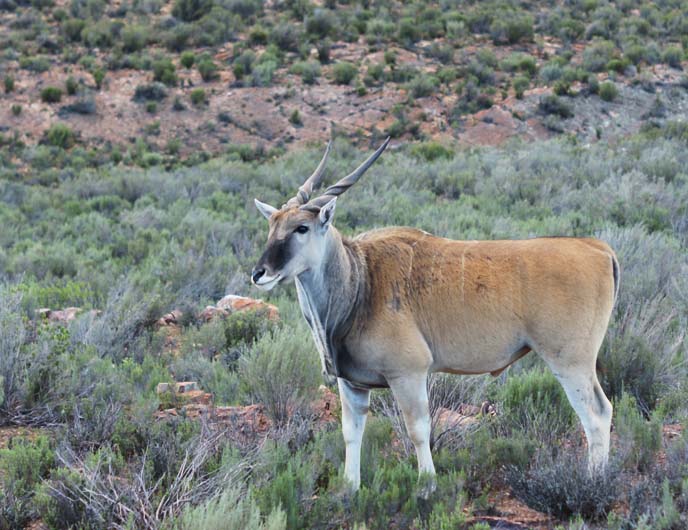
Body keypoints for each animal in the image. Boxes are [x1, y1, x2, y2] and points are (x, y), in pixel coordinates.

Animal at [251, 139, 620, 490]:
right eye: (271, 226)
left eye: (301, 228)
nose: (259, 273)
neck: (361, 280)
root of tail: (598, 248)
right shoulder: (352, 383)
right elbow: (351, 433)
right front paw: (350, 489)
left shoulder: (409, 373)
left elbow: (417, 430)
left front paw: (427, 486)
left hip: (569, 360)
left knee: (596, 415)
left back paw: (594, 485)